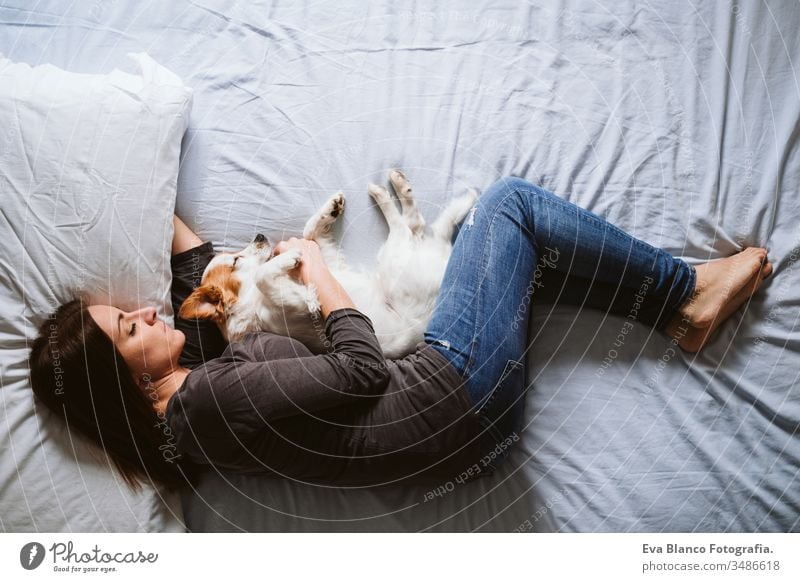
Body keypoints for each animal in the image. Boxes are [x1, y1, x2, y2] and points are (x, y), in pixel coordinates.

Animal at [181, 170, 476, 360]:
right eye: (236, 260)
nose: (260, 236)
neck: (250, 302)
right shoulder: (284, 312)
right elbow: (264, 276)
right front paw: (295, 271)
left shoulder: (328, 258)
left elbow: (310, 232)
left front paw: (330, 209)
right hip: (397, 264)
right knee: (412, 225)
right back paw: (392, 190)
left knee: (419, 225)